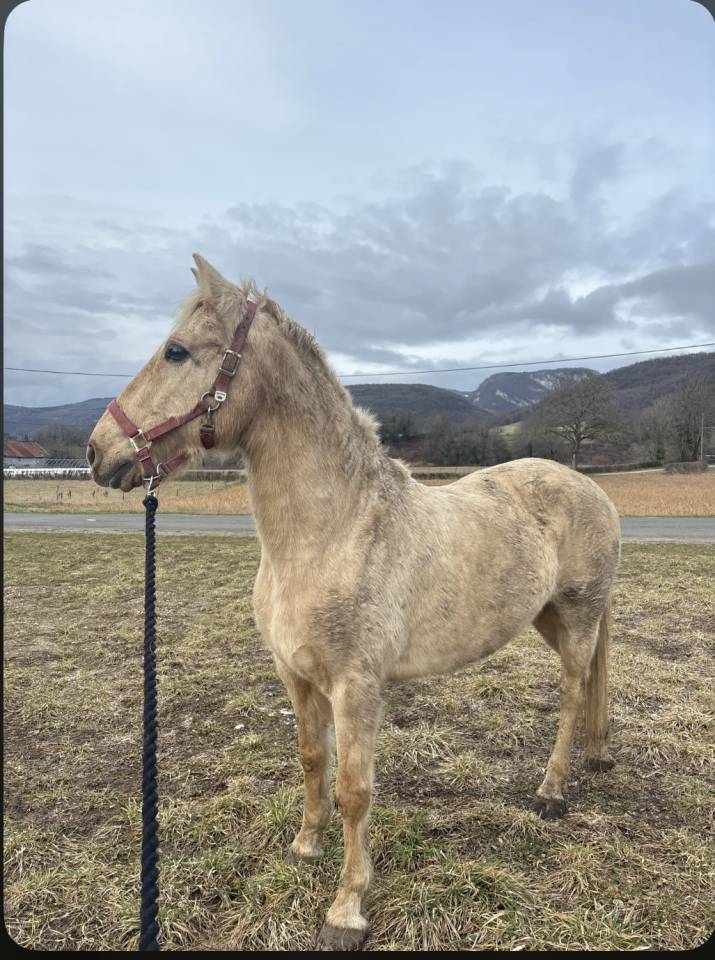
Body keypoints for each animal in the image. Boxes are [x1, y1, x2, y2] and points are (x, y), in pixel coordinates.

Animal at [88, 254, 621, 951]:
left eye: (176, 351)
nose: (97, 452)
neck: (333, 531)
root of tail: (592, 489)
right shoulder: (295, 675)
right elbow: (313, 760)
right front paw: (305, 846)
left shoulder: (356, 686)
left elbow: (354, 790)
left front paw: (346, 908)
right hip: (547, 618)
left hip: (577, 617)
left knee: (571, 693)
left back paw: (553, 791)